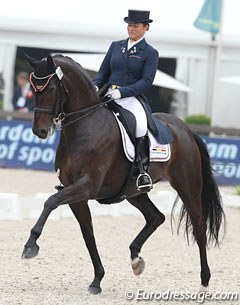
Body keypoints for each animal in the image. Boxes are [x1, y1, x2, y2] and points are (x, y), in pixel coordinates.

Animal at [21, 53, 224, 294]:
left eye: (51, 88)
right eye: (33, 90)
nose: (40, 131)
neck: (85, 126)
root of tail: (185, 129)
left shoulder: (87, 186)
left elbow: (50, 202)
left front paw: (30, 245)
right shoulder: (75, 193)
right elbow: (88, 235)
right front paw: (97, 280)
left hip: (187, 185)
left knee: (199, 227)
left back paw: (204, 282)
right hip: (134, 192)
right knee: (156, 217)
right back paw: (136, 259)